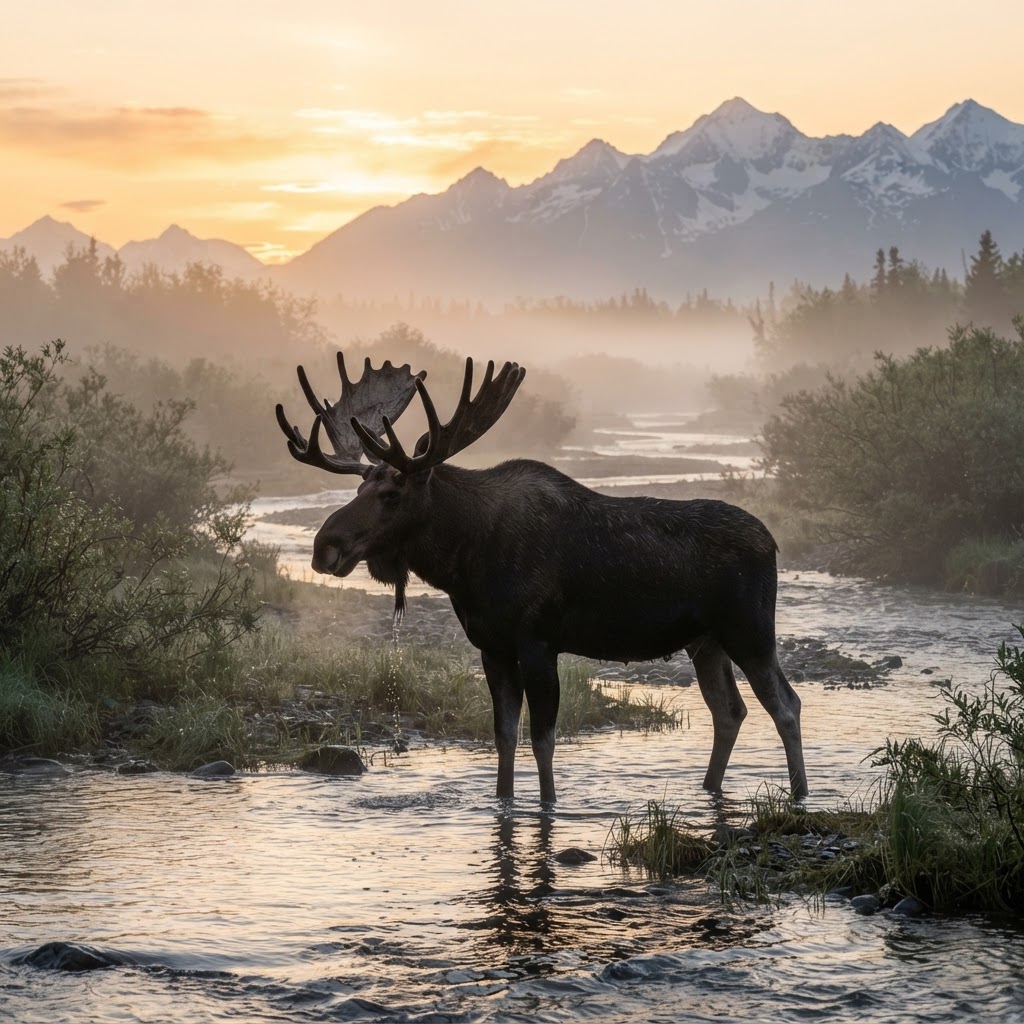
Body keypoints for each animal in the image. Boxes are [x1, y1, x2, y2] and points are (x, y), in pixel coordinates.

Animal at [276, 354, 807, 804]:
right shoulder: (492, 647)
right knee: (729, 711)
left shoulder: (538, 641)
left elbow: (543, 740)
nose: (325, 546)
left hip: (749, 631)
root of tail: (772, 543)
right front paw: (503, 802)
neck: (464, 562)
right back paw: (711, 789)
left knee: (786, 703)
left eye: (391, 493)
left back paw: (799, 794)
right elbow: (505, 737)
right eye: (359, 488)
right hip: (706, 641)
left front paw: (548, 807)